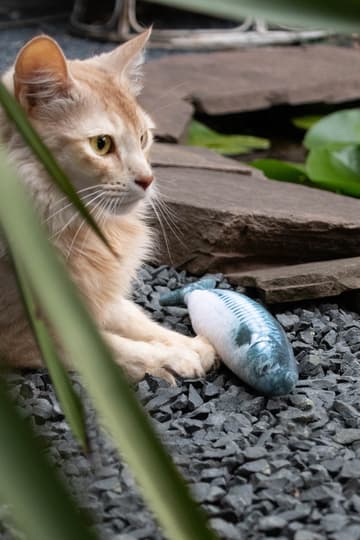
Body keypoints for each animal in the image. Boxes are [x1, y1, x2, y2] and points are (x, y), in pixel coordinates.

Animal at [0, 30, 215, 384]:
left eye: (143, 138)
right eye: (101, 144)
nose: (148, 179)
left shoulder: (99, 297)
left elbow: (136, 319)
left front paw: (191, 344)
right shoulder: (24, 333)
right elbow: (110, 348)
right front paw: (172, 357)